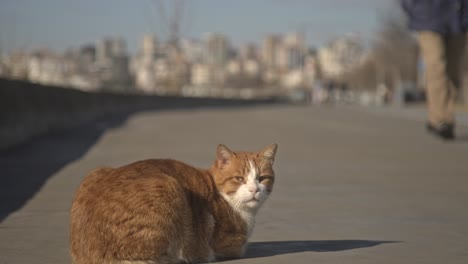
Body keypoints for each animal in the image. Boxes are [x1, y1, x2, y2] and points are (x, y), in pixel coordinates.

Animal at [69, 143, 278, 262]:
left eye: (262, 178)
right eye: (239, 179)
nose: (254, 190)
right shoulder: (230, 244)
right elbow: (236, 247)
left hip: (95, 171)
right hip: (168, 185)